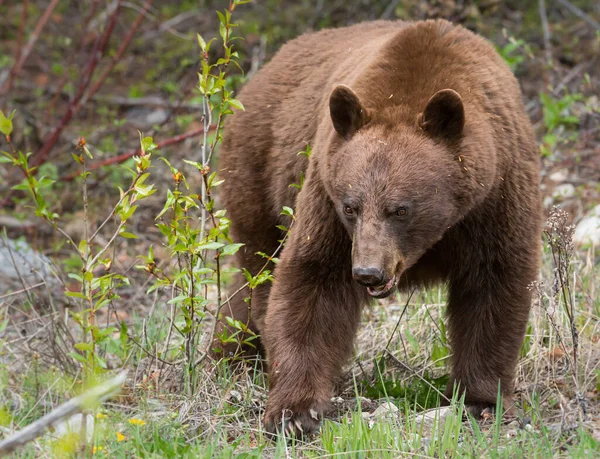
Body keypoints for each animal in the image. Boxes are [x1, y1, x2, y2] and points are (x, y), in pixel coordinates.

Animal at [213, 18, 540, 436]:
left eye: (401, 209)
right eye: (350, 206)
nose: (368, 272)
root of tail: (259, 76)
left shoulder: (496, 196)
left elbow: (494, 284)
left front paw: (483, 401)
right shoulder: (326, 195)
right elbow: (312, 279)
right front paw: (294, 411)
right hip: (260, 175)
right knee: (260, 270)